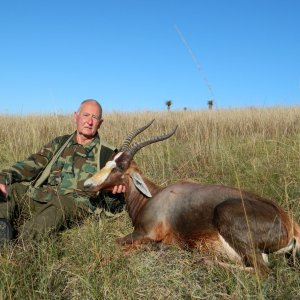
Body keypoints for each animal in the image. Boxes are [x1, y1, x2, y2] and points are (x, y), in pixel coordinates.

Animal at [84, 120, 300, 276]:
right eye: (110, 161)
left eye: (120, 167)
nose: (87, 185)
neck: (154, 196)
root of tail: (290, 223)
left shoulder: (145, 234)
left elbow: (117, 243)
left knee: (263, 272)